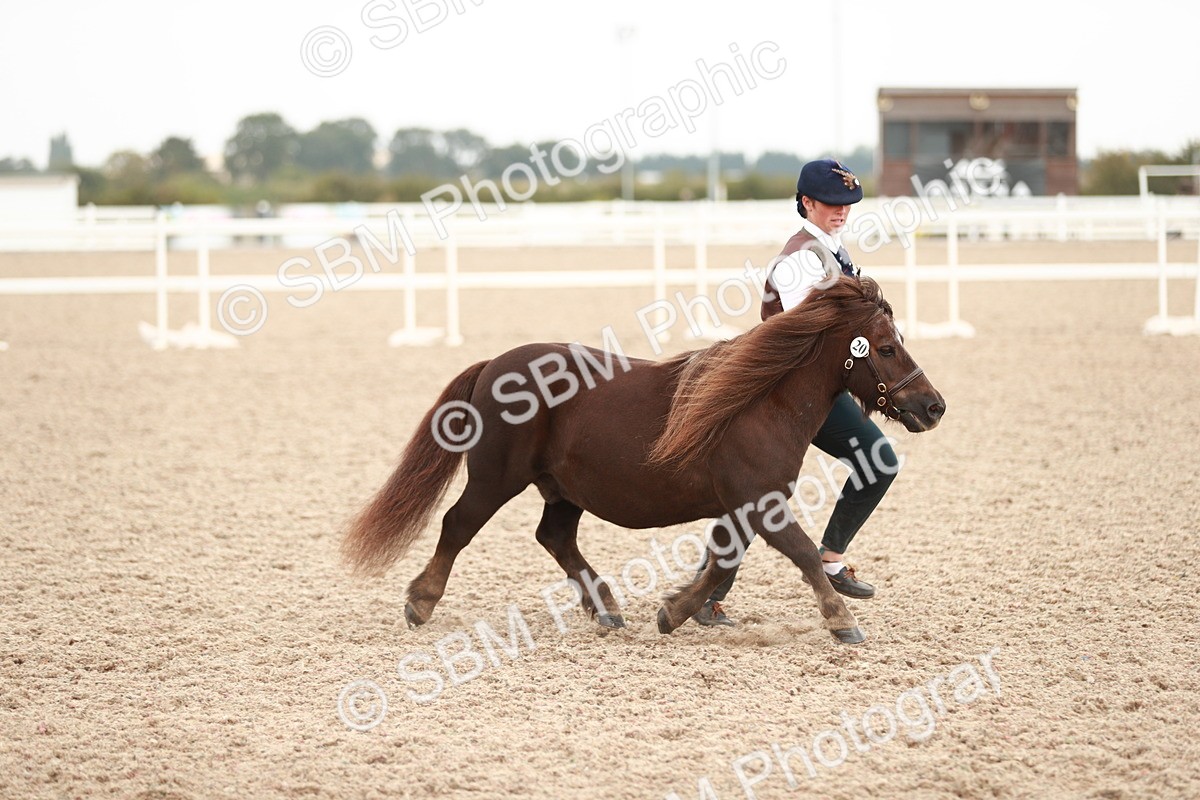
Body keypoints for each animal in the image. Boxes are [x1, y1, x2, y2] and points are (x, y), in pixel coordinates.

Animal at [342, 275, 945, 644]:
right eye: (886, 347)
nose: (933, 406)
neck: (758, 401)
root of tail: (494, 365)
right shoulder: (761, 504)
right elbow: (799, 554)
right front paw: (842, 620)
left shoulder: (741, 509)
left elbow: (721, 561)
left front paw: (674, 611)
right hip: (495, 479)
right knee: (457, 525)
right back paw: (421, 602)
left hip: (563, 490)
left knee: (554, 538)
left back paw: (607, 607)